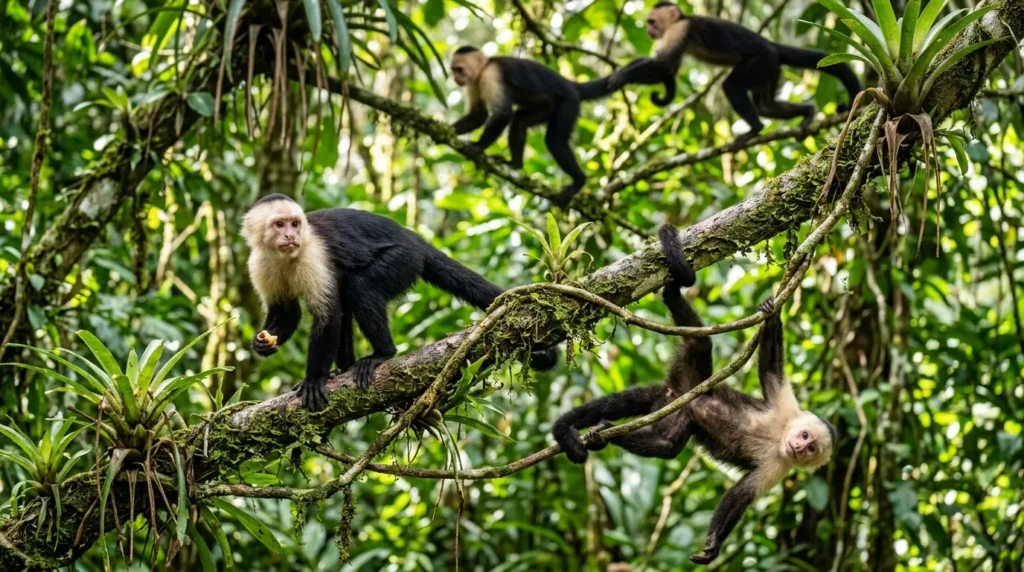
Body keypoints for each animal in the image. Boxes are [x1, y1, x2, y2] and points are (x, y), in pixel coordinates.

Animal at [243, 194, 557, 411]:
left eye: (295, 224)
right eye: (279, 224)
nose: (291, 235)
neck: (286, 256)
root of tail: (413, 237)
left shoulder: (312, 256)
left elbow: (327, 315)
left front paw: (313, 380)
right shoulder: (258, 264)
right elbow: (287, 312)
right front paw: (262, 343)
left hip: (404, 259)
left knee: (360, 288)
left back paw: (382, 354)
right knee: (347, 297)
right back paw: (343, 369)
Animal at [449, 46, 614, 208]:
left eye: (459, 69)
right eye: (453, 70)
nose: (456, 79)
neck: (483, 69)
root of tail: (570, 84)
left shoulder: (491, 76)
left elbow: (503, 113)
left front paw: (478, 146)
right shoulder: (473, 83)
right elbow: (478, 116)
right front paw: (446, 132)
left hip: (568, 102)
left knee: (554, 141)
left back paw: (578, 181)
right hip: (546, 107)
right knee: (519, 120)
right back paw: (514, 165)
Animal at [551, 228, 835, 565]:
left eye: (811, 448)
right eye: (804, 435)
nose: (800, 447)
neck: (780, 437)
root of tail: (677, 392)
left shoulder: (781, 469)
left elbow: (741, 494)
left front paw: (714, 544)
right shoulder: (785, 406)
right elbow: (770, 368)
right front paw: (772, 313)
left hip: (677, 414)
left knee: (666, 445)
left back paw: (603, 434)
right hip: (691, 370)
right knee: (702, 344)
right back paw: (673, 292)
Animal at [608, 2, 862, 144]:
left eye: (651, 21)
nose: (649, 30)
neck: (679, 20)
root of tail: (771, 45)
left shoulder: (678, 30)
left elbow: (662, 65)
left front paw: (620, 77)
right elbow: (668, 68)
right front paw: (625, 70)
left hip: (761, 61)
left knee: (731, 86)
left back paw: (755, 129)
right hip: (771, 69)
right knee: (765, 105)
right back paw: (807, 112)